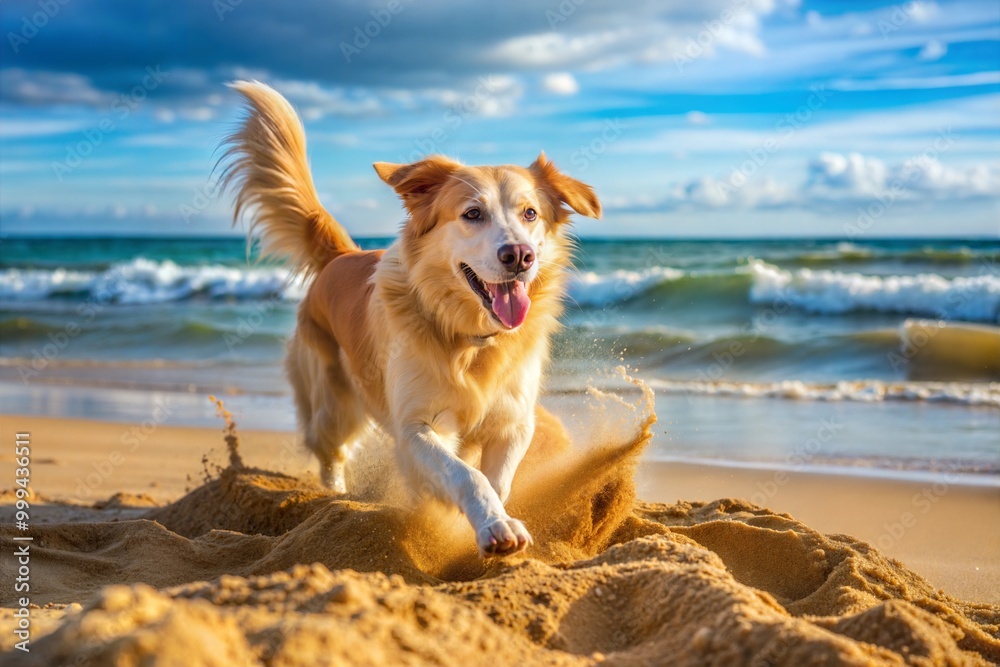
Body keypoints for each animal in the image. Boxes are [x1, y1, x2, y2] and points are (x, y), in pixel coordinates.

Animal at [221, 82, 600, 560]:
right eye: (472, 214)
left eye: (530, 213)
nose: (519, 255)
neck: (471, 338)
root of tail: (341, 256)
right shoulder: (417, 427)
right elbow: (466, 475)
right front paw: (490, 525)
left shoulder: (513, 422)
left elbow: (497, 480)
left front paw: (488, 520)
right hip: (334, 403)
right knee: (330, 453)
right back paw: (336, 497)